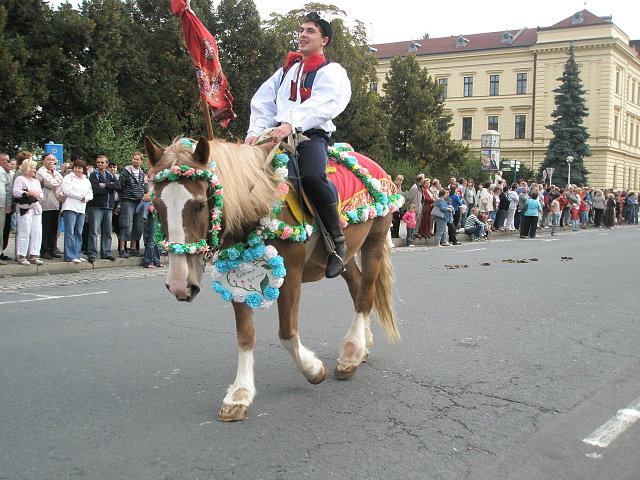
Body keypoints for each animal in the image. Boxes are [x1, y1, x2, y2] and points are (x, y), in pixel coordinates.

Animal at [144, 135, 400, 420]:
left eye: (200, 205)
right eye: (156, 206)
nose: (180, 285)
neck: (258, 202)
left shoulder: (290, 276)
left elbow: (287, 333)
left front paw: (313, 369)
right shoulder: (236, 277)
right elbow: (245, 335)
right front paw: (239, 393)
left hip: (374, 241)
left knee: (366, 295)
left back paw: (351, 354)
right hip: (345, 259)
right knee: (357, 289)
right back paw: (361, 347)